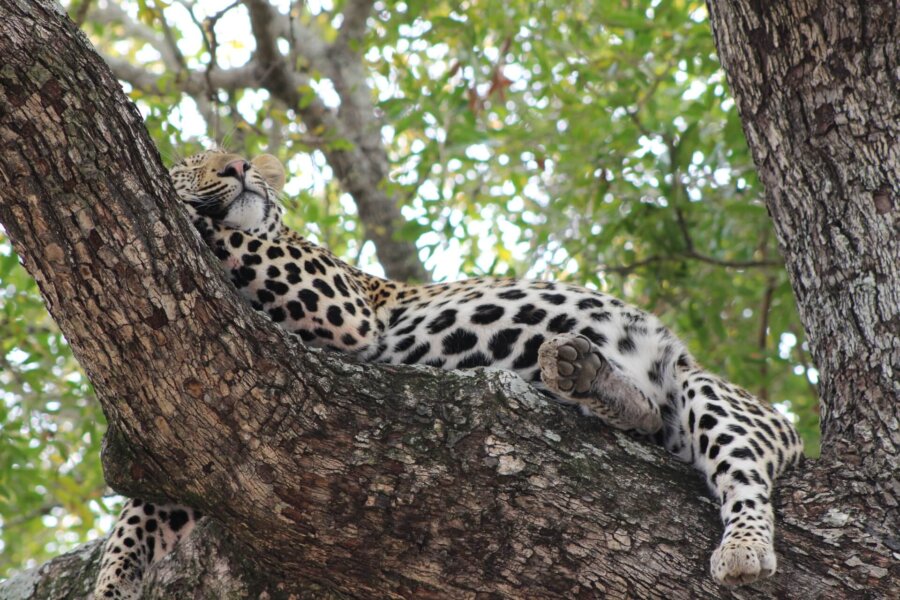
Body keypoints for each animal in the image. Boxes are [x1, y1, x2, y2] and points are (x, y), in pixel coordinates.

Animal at [93, 149, 804, 598]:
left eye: (227, 157)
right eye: (193, 164)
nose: (237, 169)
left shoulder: (338, 302)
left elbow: (232, 234)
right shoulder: (192, 427)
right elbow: (141, 512)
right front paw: (111, 582)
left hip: (716, 395)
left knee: (741, 474)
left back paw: (742, 550)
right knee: (649, 414)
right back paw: (580, 370)